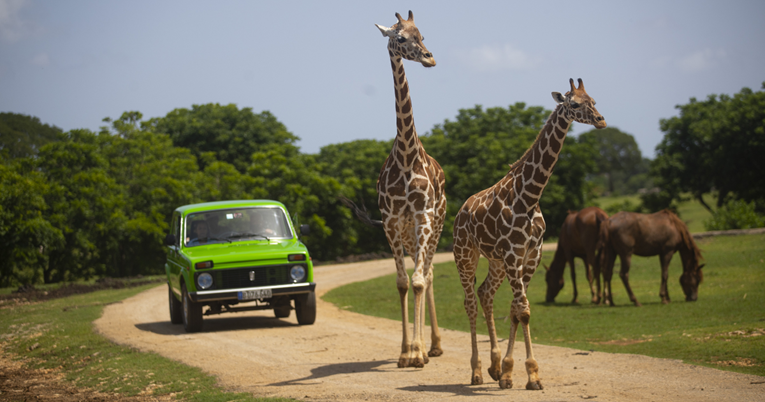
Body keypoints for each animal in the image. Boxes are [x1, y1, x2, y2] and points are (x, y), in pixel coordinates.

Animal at [450, 77, 604, 390]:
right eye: (574, 104)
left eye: (593, 100)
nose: (600, 120)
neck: (530, 196)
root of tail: (460, 212)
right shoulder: (513, 255)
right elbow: (523, 310)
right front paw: (531, 374)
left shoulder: (530, 256)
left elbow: (516, 309)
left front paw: (509, 373)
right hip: (465, 255)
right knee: (470, 302)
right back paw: (476, 371)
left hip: (495, 262)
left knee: (485, 294)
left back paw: (494, 366)